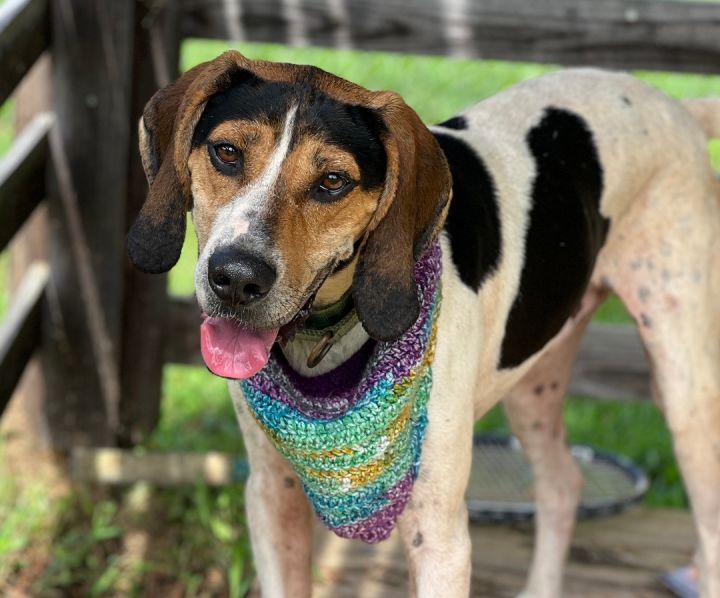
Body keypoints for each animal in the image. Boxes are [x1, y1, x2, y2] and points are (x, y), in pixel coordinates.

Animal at [126, 52, 720, 598]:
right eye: (227, 152)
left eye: (333, 181)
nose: (235, 278)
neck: (330, 342)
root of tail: (676, 106)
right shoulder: (272, 499)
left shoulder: (439, 538)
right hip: (535, 376)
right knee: (563, 483)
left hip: (684, 391)